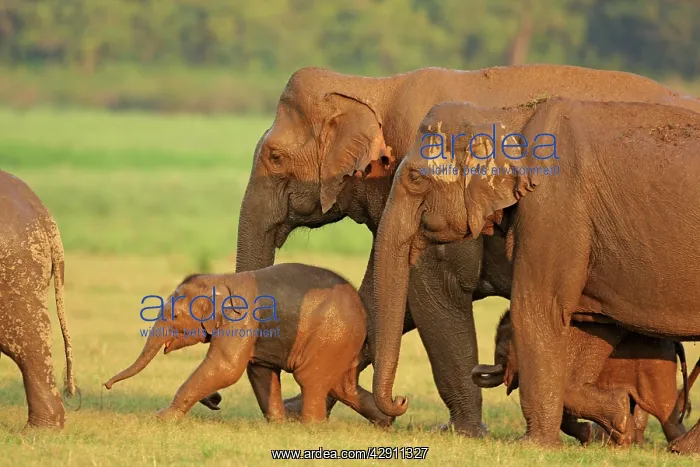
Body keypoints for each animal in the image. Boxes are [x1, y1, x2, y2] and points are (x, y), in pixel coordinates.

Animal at [103, 263, 394, 427]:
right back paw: (387, 421)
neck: (219, 279)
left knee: (311, 379)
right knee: (342, 386)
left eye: (174, 316)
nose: (106, 385)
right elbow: (260, 370)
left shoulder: (241, 319)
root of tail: (363, 312)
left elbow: (227, 367)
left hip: (331, 335)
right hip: (341, 343)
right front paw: (276, 426)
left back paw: (312, 428)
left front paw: (162, 417)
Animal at [472, 309, 692, 446]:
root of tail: (675, 343)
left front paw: (589, 437)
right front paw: (591, 437)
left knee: (665, 411)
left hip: (656, 370)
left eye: (501, 355)